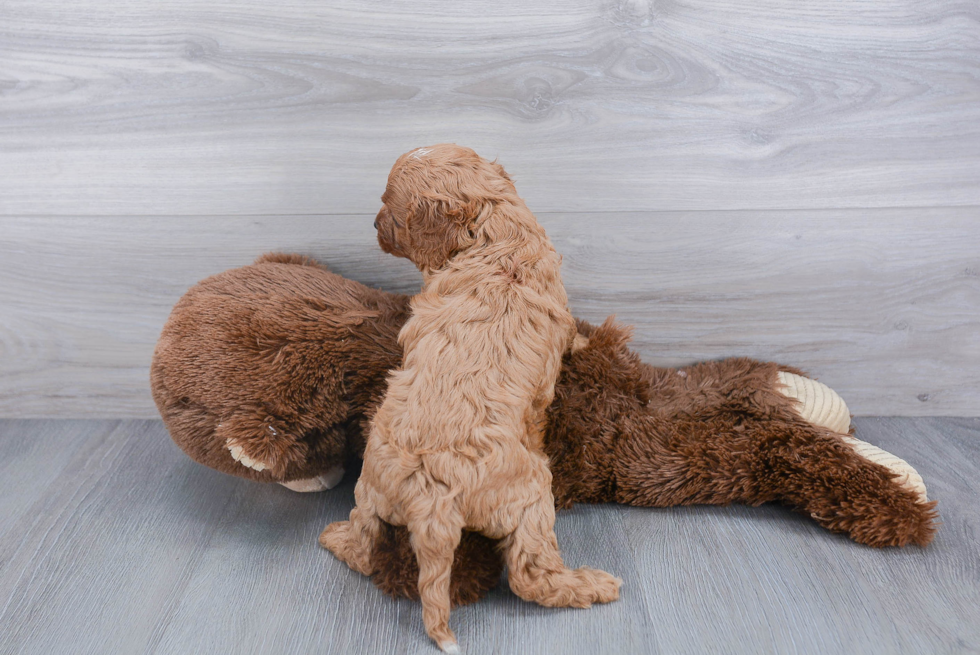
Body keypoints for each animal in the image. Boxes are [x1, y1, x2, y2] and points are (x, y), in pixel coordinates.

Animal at [322, 144, 620, 652]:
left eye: (390, 210)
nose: (373, 224)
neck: (493, 231)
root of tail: (432, 500)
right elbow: (569, 344)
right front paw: (585, 344)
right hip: (531, 494)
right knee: (530, 576)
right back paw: (592, 585)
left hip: (371, 489)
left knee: (365, 545)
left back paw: (336, 538)